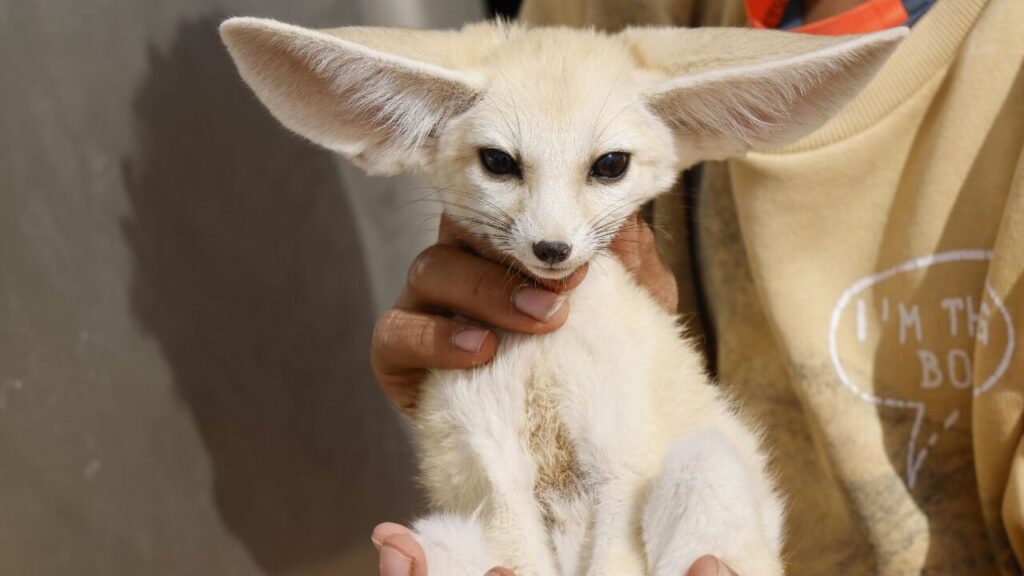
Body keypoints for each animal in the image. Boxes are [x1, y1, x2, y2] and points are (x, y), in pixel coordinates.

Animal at [220, 17, 905, 576]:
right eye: (499, 162)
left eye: (609, 165)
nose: (552, 248)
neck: (544, 353)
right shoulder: (491, 463)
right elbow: (515, 552)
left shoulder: (623, 454)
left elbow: (617, 555)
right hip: (442, 534)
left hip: (702, 466)